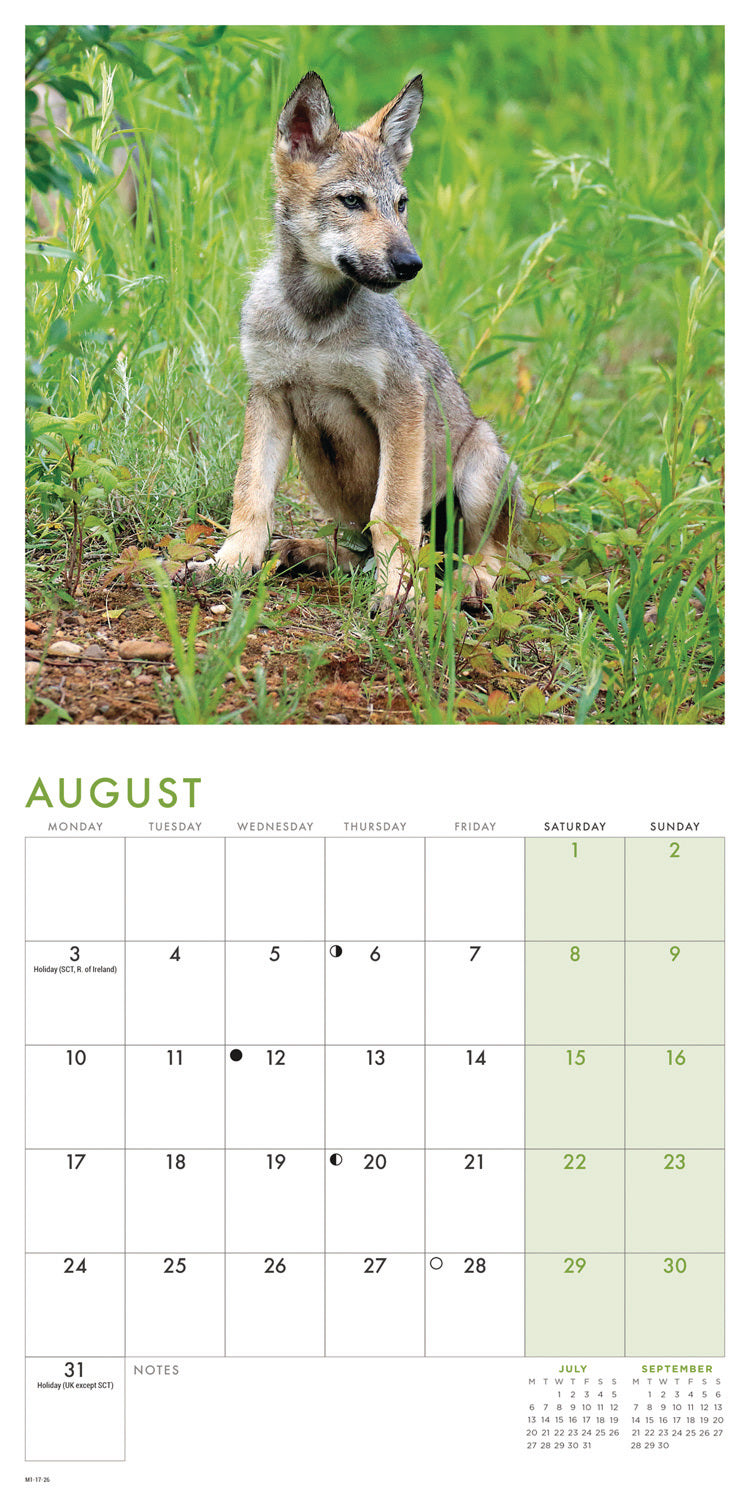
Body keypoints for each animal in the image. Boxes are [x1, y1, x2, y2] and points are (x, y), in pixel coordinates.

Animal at [206, 71, 522, 612]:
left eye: (401, 204)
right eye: (352, 201)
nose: (410, 263)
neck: (313, 323)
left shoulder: (401, 402)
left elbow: (391, 516)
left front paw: (397, 594)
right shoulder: (268, 396)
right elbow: (250, 494)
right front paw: (231, 560)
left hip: (482, 462)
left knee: (491, 553)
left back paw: (471, 581)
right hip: (321, 470)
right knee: (360, 549)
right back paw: (308, 552)